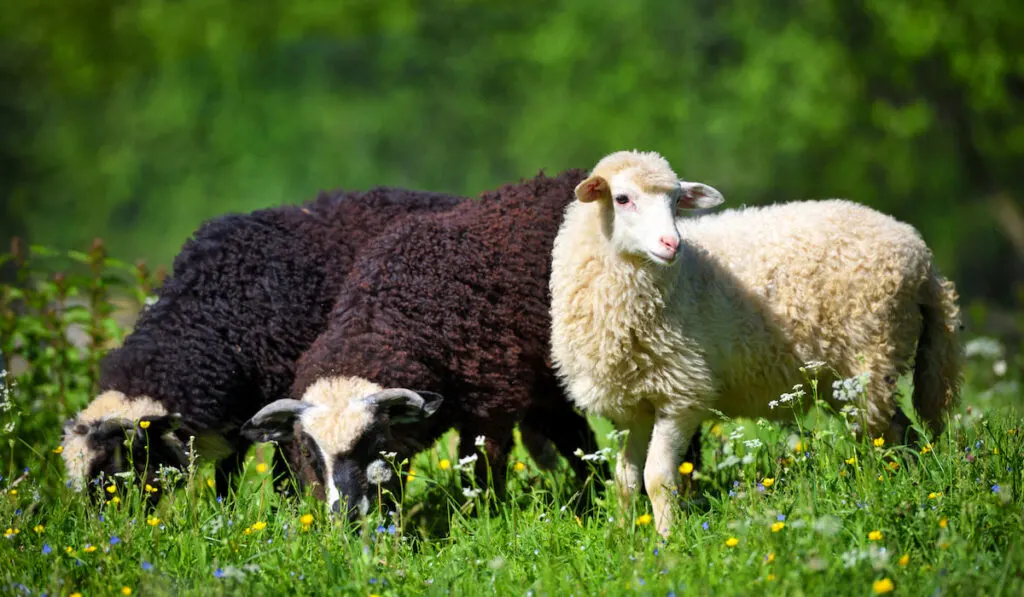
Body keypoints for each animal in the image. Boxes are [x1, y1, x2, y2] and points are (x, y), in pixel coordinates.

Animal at [239, 168, 606, 518]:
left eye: (376, 441)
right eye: (307, 451)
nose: (347, 517)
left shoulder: (493, 403)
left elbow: (480, 469)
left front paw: (483, 519)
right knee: (576, 436)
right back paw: (596, 501)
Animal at [548, 149, 962, 536]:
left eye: (677, 201)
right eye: (622, 199)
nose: (672, 243)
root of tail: (921, 256)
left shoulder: (683, 393)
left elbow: (657, 478)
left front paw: (666, 541)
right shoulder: (632, 404)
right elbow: (625, 480)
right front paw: (622, 535)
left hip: (871, 357)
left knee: (889, 433)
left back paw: (886, 488)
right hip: (846, 379)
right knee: (901, 432)